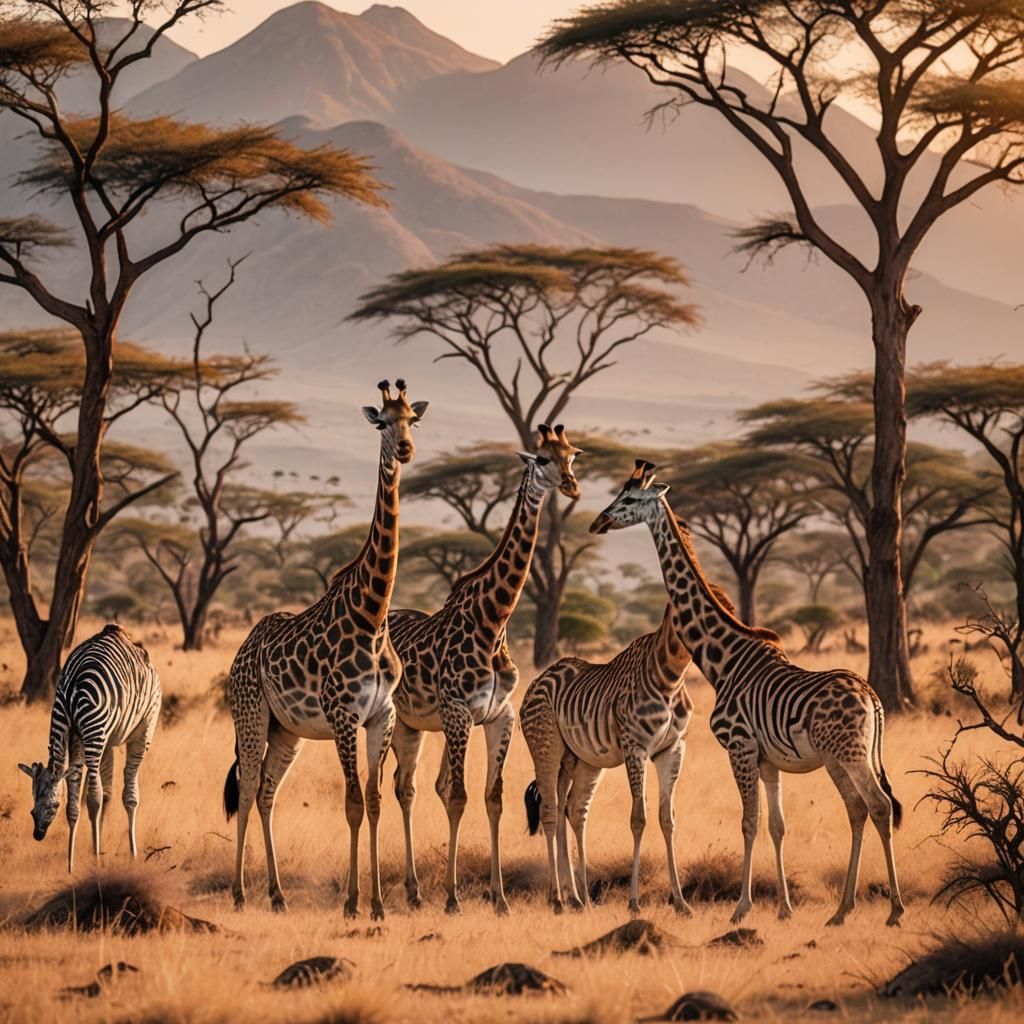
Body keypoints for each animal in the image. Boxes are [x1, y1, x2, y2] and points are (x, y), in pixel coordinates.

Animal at [18, 623, 161, 873]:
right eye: (32, 806)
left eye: (54, 805)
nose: (38, 835)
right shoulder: (86, 735)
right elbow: (95, 798)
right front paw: (78, 862)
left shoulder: (79, 733)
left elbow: (86, 796)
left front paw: (80, 860)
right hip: (99, 733)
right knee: (100, 795)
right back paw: (100, 855)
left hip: (116, 732)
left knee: (100, 796)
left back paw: (98, 857)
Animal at [223, 379, 428, 920]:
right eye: (381, 422)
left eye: (412, 421)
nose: (405, 450)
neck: (373, 615)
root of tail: (240, 652)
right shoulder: (342, 715)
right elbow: (352, 803)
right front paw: (354, 902)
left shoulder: (381, 716)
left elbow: (374, 801)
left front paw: (378, 903)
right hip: (249, 715)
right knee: (247, 789)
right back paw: (239, 893)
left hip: (286, 730)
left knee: (268, 793)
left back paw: (277, 895)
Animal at [388, 424, 582, 915]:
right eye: (542, 459)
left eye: (572, 456)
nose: (571, 487)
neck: (493, 622)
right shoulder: (459, 711)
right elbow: (459, 797)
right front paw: (454, 897)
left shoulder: (498, 715)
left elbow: (492, 799)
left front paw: (499, 898)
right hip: (393, 720)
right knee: (394, 786)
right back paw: (409, 889)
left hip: (419, 725)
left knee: (411, 786)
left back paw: (415, 890)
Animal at [520, 598, 697, 915]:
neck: (671, 677)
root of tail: (536, 682)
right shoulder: (634, 746)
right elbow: (639, 817)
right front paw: (634, 902)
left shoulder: (673, 748)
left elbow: (667, 819)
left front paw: (680, 902)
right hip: (546, 747)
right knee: (550, 810)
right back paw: (557, 898)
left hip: (579, 760)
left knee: (572, 809)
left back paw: (579, 899)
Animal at [588, 461, 905, 928]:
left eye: (628, 499)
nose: (598, 522)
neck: (725, 659)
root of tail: (873, 698)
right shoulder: (767, 757)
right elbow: (776, 825)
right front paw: (784, 907)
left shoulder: (738, 746)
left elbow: (748, 822)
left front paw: (742, 907)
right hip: (845, 755)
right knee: (859, 809)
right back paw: (842, 909)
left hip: (847, 754)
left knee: (878, 806)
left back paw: (894, 910)